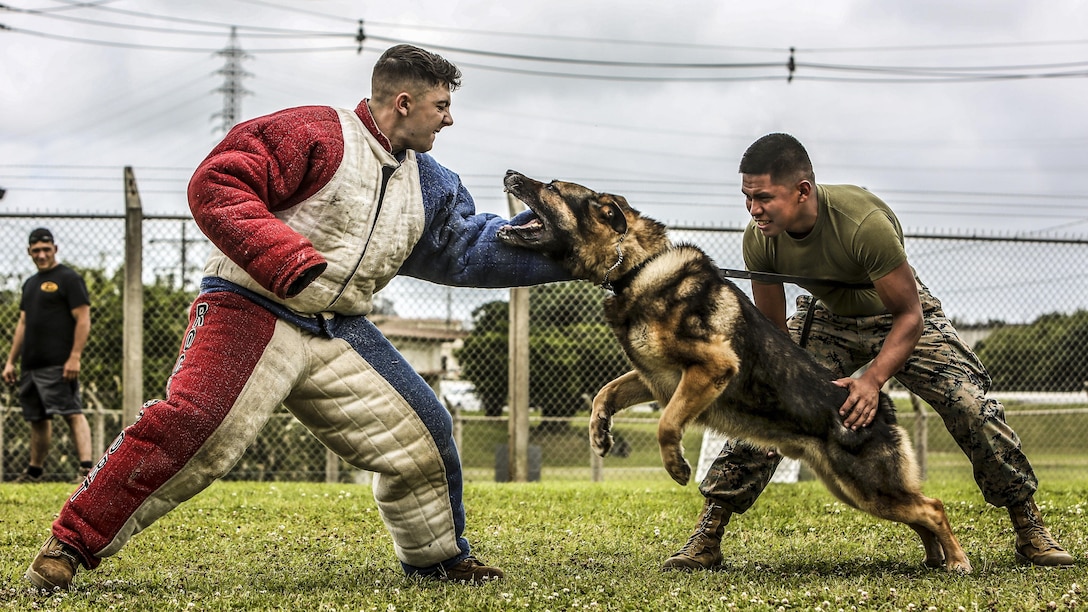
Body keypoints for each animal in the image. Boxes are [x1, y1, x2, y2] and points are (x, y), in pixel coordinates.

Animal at [498, 168, 970, 570]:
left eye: (553, 187)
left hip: (868, 488)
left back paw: (957, 562)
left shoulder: (711, 366)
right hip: (856, 490)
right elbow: (606, 392)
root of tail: (880, 406)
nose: (509, 173)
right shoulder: (656, 378)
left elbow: (666, 425)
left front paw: (677, 467)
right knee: (920, 514)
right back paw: (934, 558)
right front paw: (599, 434)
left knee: (933, 508)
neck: (636, 267)